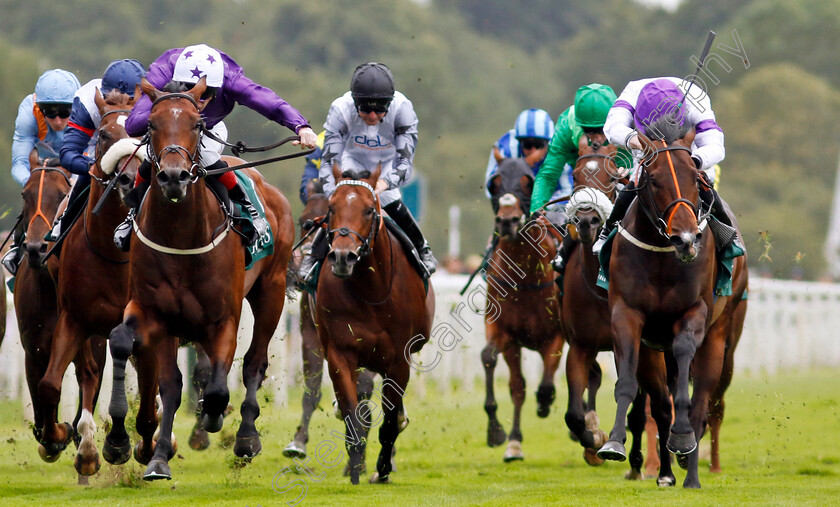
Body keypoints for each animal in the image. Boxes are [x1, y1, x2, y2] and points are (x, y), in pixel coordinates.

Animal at [37, 88, 143, 476]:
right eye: (104, 135)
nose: (129, 179)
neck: (112, 250)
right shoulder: (74, 319)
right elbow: (51, 383)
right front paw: (60, 437)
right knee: (88, 372)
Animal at [105, 77, 296, 482]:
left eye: (196, 124)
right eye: (151, 125)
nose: (174, 176)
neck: (181, 238)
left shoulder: (224, 318)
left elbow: (220, 386)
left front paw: (214, 416)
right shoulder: (156, 314)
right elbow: (147, 365)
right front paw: (141, 451)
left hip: (270, 293)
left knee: (254, 362)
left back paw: (245, 437)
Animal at [316, 166, 434, 484]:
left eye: (369, 210)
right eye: (331, 208)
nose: (343, 257)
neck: (371, 291)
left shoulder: (399, 360)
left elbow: (390, 421)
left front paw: (382, 470)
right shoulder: (340, 354)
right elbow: (352, 414)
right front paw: (356, 467)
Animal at [480, 161, 564, 462]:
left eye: (528, 182)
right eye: (494, 183)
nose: (508, 221)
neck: (524, 277)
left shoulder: (556, 335)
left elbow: (547, 385)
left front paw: (545, 404)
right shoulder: (505, 334)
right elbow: (504, 375)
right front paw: (503, 435)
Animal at [596, 117, 748, 490]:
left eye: (695, 178)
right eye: (654, 179)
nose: (686, 239)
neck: (665, 257)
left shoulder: (694, 314)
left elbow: (687, 387)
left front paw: (682, 440)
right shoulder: (628, 316)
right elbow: (629, 383)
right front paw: (614, 442)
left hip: (721, 338)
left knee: (703, 403)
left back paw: (691, 472)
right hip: (654, 349)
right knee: (662, 405)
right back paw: (667, 469)